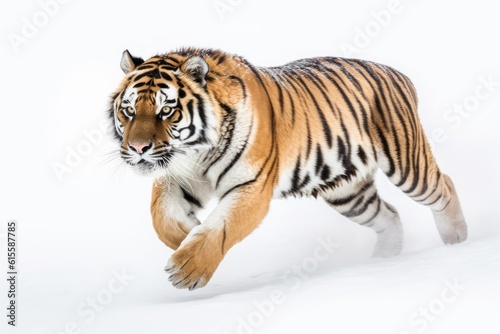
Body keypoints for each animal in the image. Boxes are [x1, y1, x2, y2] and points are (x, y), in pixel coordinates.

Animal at [107, 47, 466, 290]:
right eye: (129, 110)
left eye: (166, 111)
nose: (138, 149)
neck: (196, 152)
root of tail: (395, 72)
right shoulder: (177, 177)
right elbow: (161, 218)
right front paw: (187, 234)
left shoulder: (251, 185)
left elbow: (222, 227)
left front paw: (187, 268)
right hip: (348, 191)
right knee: (389, 215)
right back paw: (385, 259)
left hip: (406, 163)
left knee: (444, 186)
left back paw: (457, 241)